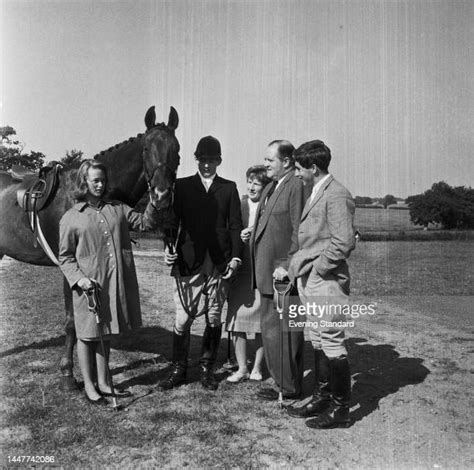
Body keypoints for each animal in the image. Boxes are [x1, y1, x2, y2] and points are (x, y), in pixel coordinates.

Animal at [0, 105, 181, 390]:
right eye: (145, 149)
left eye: (176, 148)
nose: (161, 197)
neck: (86, 194)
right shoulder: (71, 270)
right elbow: (72, 322)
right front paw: (67, 374)